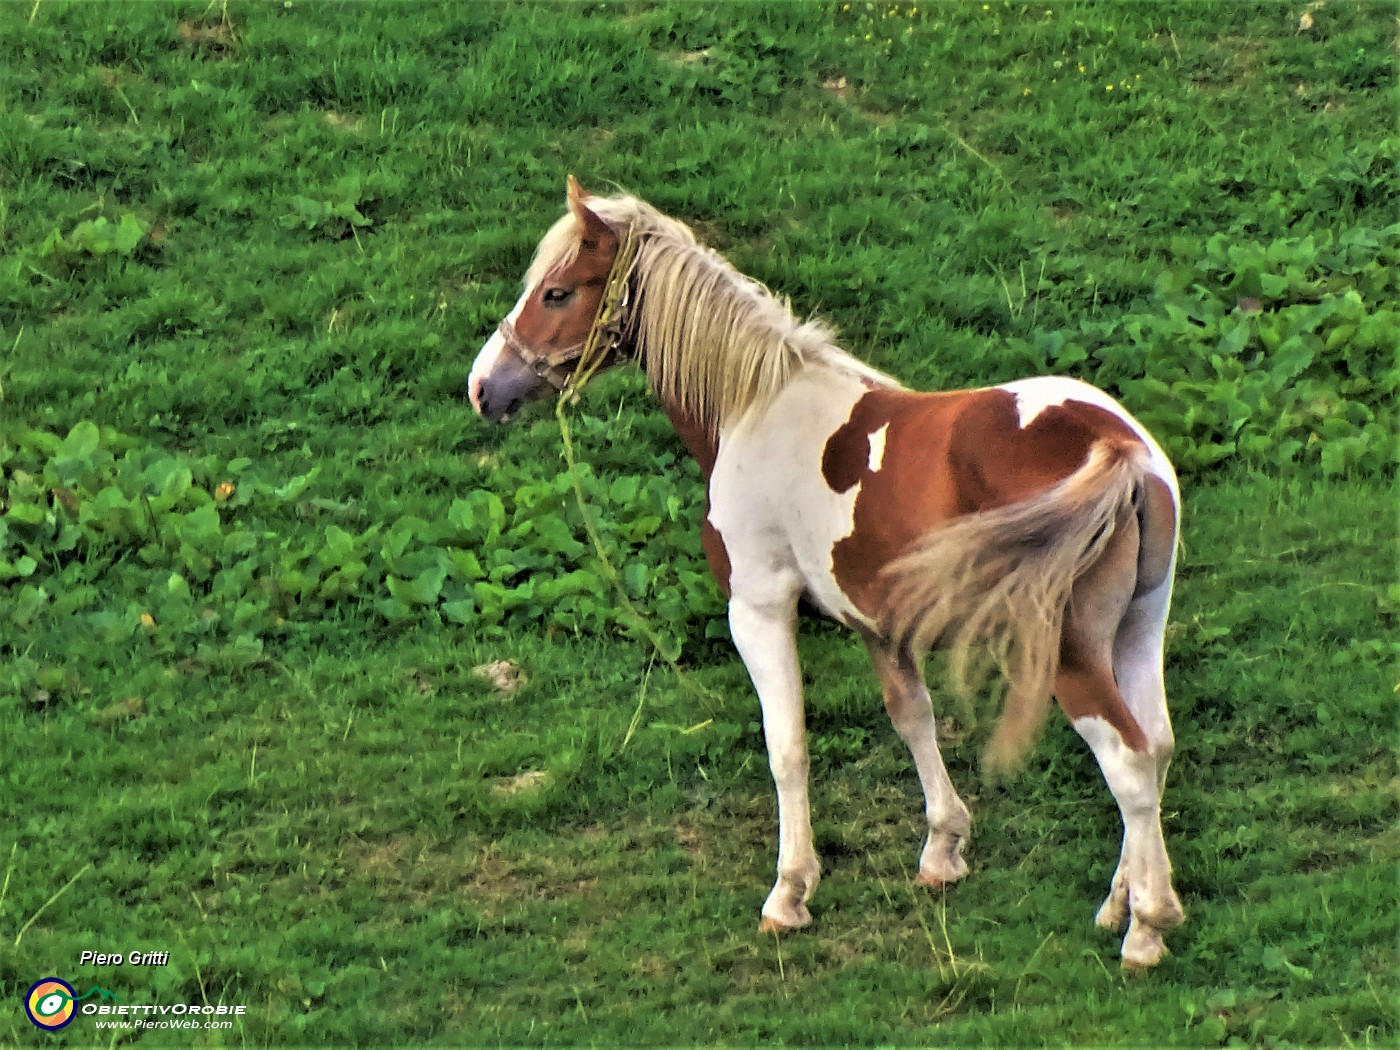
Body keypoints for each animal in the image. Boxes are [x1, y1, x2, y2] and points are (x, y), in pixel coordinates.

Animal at [467, 179, 1181, 968]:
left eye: (557, 292)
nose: (482, 388)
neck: (754, 407)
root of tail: (1116, 447)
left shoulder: (757, 611)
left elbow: (788, 749)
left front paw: (790, 893)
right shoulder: (880, 625)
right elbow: (913, 719)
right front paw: (943, 850)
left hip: (1068, 652)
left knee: (1127, 761)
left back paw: (1147, 927)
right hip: (1136, 633)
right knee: (1156, 745)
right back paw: (1123, 903)